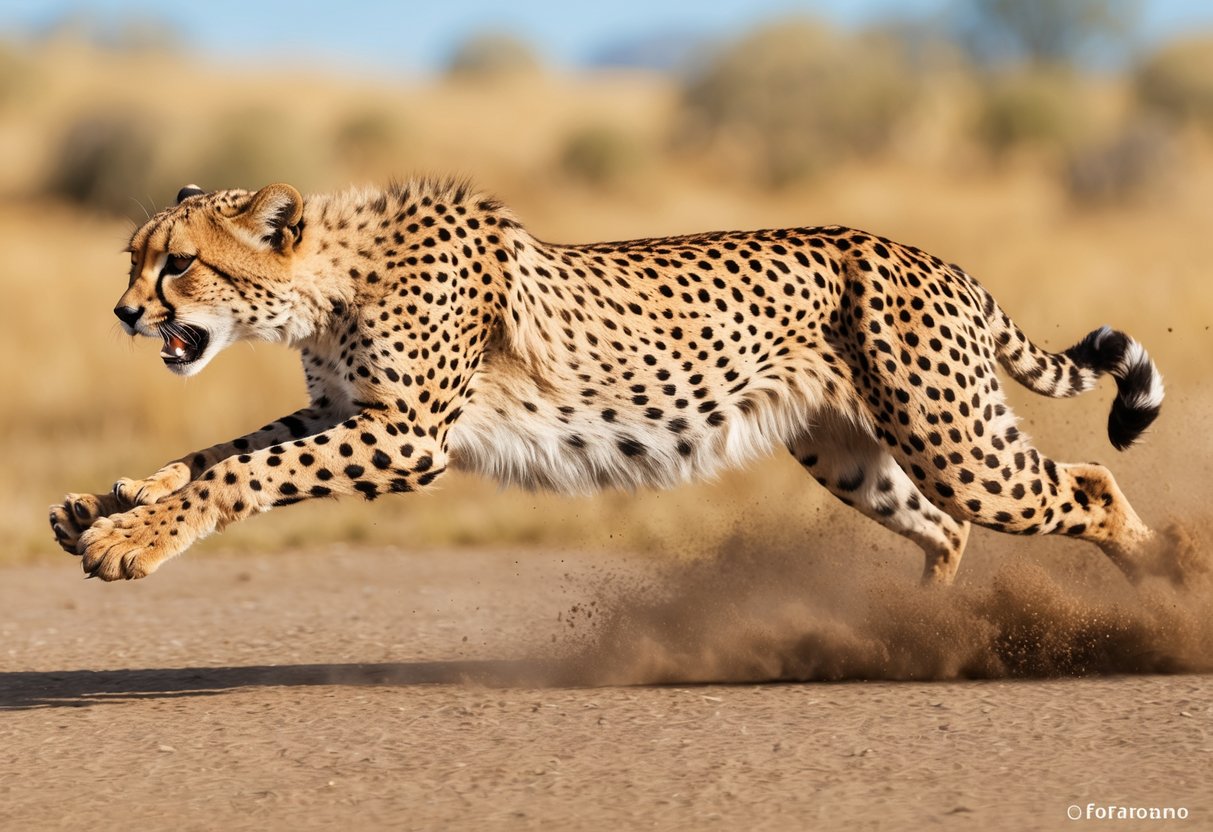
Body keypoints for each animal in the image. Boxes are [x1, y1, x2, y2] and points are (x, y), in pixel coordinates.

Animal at [49, 181, 1164, 587]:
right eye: (135, 257)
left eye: (177, 264)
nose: (125, 313)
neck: (328, 280)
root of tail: (926, 254)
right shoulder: (347, 411)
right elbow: (221, 451)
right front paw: (111, 503)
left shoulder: (407, 437)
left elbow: (241, 474)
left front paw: (129, 539)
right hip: (853, 454)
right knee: (942, 529)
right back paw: (918, 628)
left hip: (958, 443)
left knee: (1085, 487)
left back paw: (1166, 588)